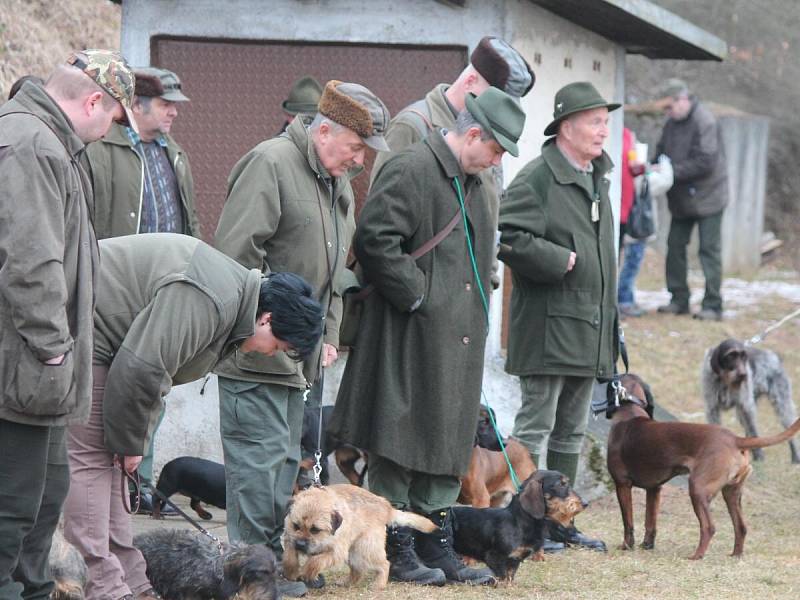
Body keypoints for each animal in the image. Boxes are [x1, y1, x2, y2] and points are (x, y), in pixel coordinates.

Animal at [282, 482, 438, 584]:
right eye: (296, 525)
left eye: (315, 530)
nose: (300, 544)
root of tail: (387, 507)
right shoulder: (290, 539)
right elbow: (289, 557)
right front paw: (291, 572)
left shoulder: (336, 552)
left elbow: (316, 561)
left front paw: (307, 572)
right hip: (354, 553)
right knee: (358, 570)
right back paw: (347, 583)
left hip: (366, 548)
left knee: (384, 564)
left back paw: (378, 587)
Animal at [608, 372, 800, 560]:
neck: (629, 411)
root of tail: (735, 439)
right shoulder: (654, 489)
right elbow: (650, 522)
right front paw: (646, 546)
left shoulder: (622, 485)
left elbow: (628, 522)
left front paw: (626, 546)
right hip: (731, 494)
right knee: (741, 527)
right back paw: (735, 555)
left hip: (697, 489)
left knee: (709, 527)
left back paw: (696, 555)